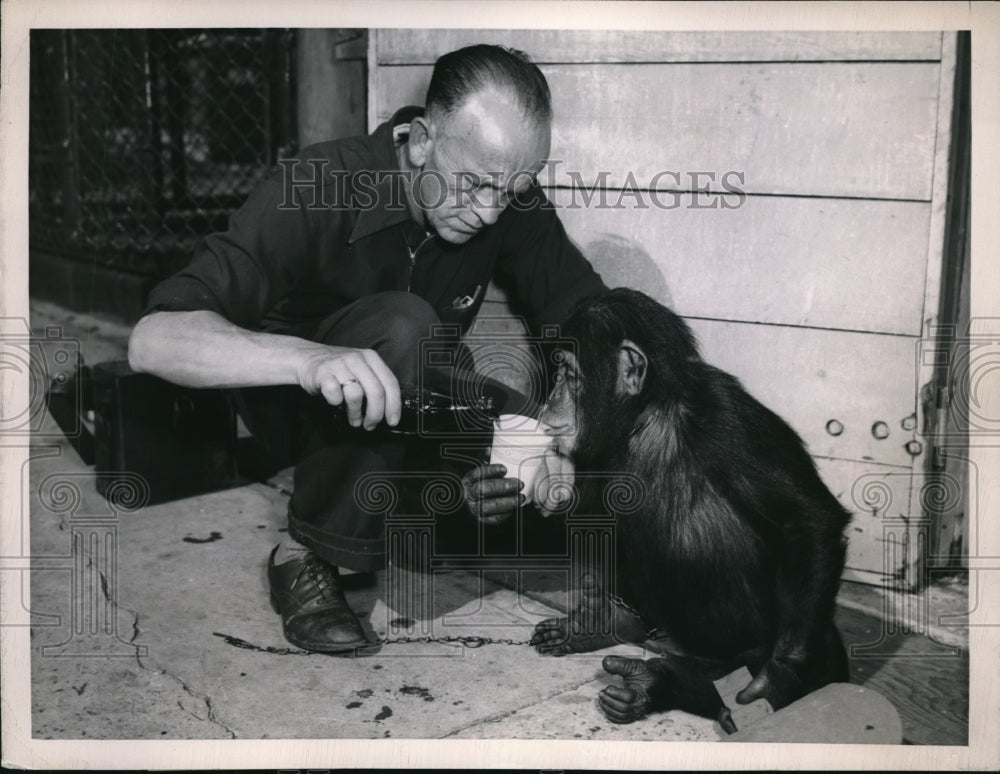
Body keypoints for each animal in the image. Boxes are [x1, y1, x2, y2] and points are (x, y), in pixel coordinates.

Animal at [464, 284, 848, 728]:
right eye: (557, 370)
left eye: (570, 373)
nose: (554, 393)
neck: (641, 416)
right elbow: (572, 516)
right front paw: (488, 498)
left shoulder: (728, 415)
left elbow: (805, 517)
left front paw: (778, 678)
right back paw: (603, 624)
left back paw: (657, 682)